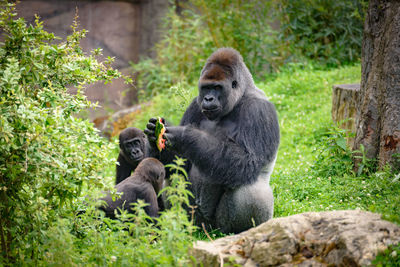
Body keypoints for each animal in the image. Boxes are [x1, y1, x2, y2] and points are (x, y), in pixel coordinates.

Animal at [145, 48, 280, 234]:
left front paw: (186, 135)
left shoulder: (258, 111)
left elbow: (247, 161)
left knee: (251, 189)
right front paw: (154, 136)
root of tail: (207, 229)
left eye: (217, 87)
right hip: (196, 220)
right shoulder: (195, 104)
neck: (241, 96)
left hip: (221, 224)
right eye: (206, 88)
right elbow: (180, 162)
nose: (208, 98)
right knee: (174, 175)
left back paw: (241, 230)